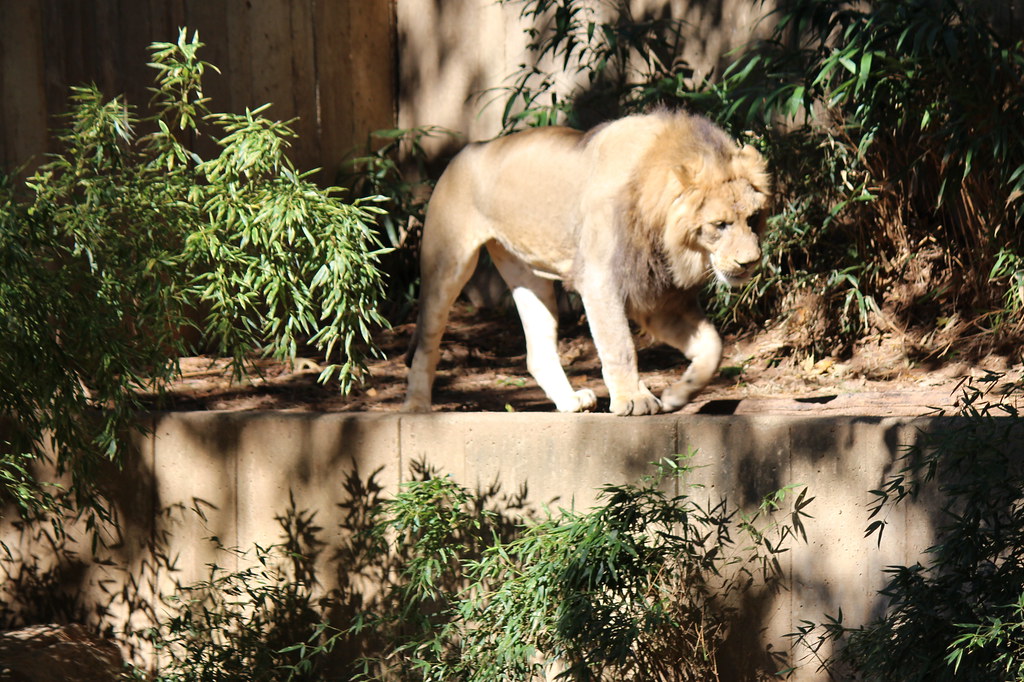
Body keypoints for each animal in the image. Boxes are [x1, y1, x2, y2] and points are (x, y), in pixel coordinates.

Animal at [402, 110, 770, 415]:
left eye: (753, 219)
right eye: (719, 225)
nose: (751, 262)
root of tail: (469, 148)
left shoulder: (659, 298)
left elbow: (713, 346)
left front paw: (678, 395)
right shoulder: (600, 280)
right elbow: (619, 345)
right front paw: (633, 400)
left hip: (527, 274)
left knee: (538, 351)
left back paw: (570, 401)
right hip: (446, 264)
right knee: (427, 343)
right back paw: (417, 406)